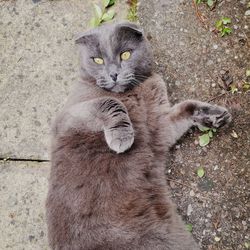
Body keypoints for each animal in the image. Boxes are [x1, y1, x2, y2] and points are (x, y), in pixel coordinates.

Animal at [46, 22, 231, 250]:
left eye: (125, 54)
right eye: (97, 60)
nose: (114, 74)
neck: (135, 90)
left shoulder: (160, 127)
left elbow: (186, 107)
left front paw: (214, 115)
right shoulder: (66, 119)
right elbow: (111, 101)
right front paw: (123, 137)